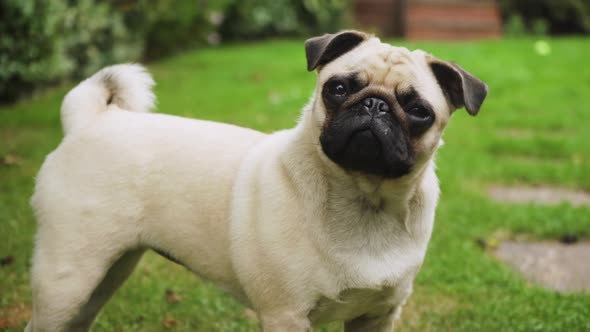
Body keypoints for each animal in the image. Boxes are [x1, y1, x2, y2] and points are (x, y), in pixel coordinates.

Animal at [26, 29, 490, 330]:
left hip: (108, 272)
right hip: (67, 277)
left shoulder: (375, 316)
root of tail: (93, 119)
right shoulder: (286, 315)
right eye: (338, 89)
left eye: (418, 111)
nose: (374, 105)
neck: (364, 198)